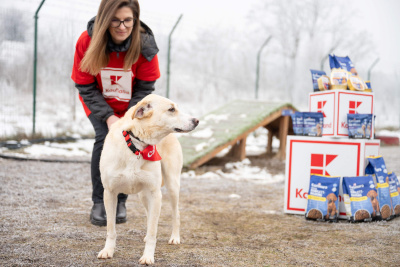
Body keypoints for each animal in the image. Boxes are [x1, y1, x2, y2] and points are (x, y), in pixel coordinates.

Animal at [95, 94, 198, 266]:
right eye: (171, 109)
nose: (197, 120)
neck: (136, 146)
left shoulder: (155, 193)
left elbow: (152, 232)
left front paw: (148, 256)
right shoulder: (109, 193)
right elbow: (111, 229)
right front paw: (108, 250)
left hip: (171, 186)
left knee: (175, 214)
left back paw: (175, 237)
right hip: (144, 195)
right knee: (150, 215)